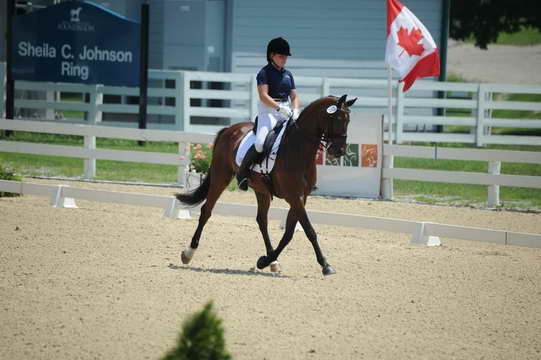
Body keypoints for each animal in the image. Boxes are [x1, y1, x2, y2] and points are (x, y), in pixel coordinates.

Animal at [175, 94, 356, 278]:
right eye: (338, 118)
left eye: (348, 120)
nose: (339, 151)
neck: (299, 149)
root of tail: (229, 129)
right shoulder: (293, 196)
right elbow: (309, 230)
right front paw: (325, 265)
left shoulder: (300, 197)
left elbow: (289, 233)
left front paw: (265, 260)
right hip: (221, 177)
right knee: (206, 211)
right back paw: (188, 253)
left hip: (261, 190)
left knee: (262, 220)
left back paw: (273, 261)